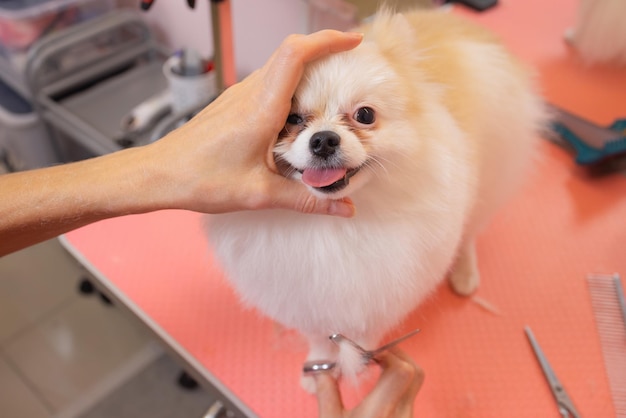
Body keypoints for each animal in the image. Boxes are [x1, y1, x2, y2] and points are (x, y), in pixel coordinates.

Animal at [207, 9, 544, 392]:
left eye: (365, 115)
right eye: (291, 119)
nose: (323, 140)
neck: (335, 223)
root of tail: (455, 20)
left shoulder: (385, 288)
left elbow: (367, 333)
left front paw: (364, 366)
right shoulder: (302, 295)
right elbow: (318, 335)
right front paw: (319, 370)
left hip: (492, 167)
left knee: (471, 228)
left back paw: (464, 271)